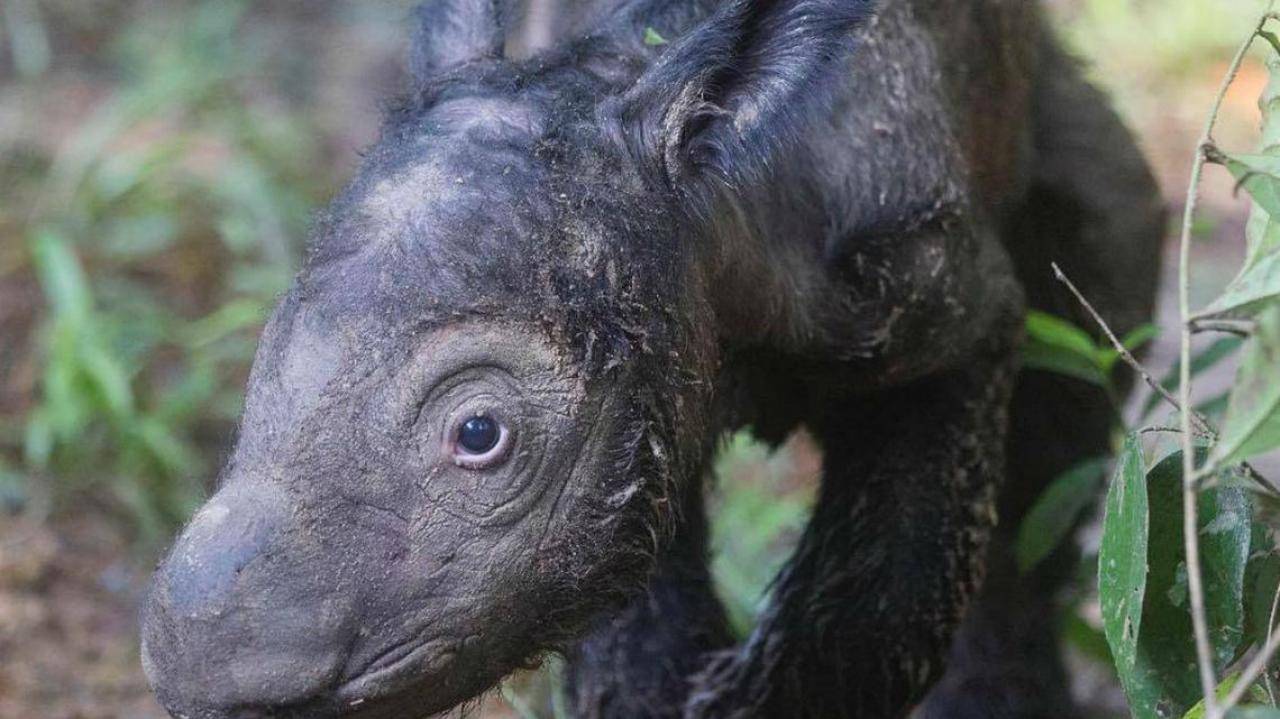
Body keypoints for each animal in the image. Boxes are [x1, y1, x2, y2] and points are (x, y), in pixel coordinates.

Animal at [140, 1, 1162, 716]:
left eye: (481, 434)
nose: (203, 669)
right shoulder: (640, 402)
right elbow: (625, 627)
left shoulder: (945, 310)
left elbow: (889, 603)